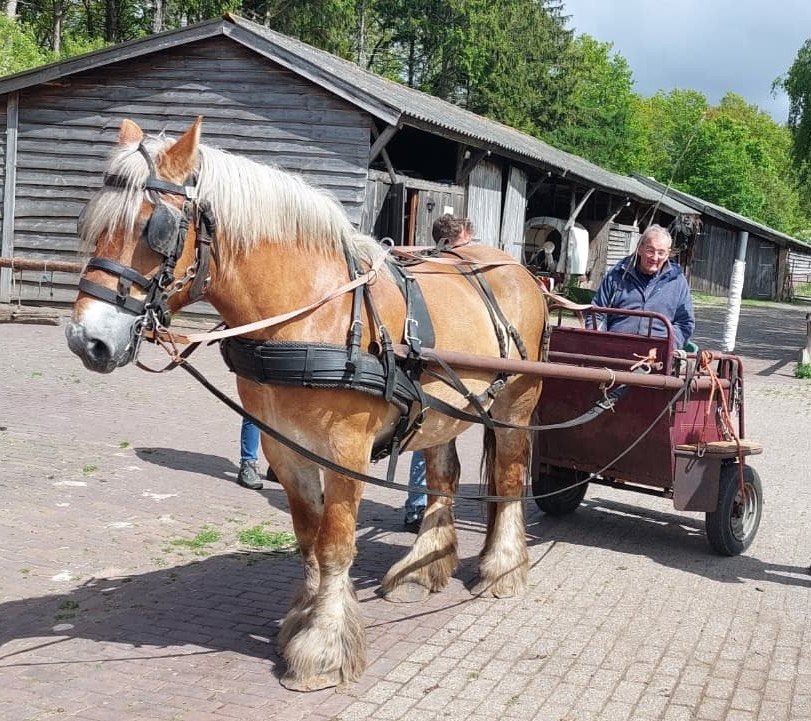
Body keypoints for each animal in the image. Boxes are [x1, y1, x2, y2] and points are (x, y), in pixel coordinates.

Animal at [66, 117, 547, 691]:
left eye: (153, 229)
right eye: (92, 225)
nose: (87, 341)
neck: (311, 314)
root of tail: (519, 269)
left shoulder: (346, 451)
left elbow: (336, 541)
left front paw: (322, 648)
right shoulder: (284, 447)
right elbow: (308, 537)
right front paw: (303, 616)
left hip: (515, 406)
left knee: (510, 478)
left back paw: (502, 569)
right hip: (441, 411)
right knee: (443, 477)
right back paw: (422, 568)